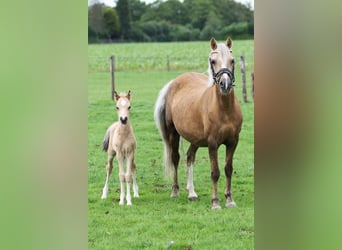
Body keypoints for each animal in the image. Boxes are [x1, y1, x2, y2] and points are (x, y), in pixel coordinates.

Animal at [154, 37, 242, 209]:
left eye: (232, 60)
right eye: (213, 61)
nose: (225, 84)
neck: (225, 110)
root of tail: (174, 82)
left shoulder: (233, 142)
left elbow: (228, 169)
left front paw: (229, 200)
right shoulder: (213, 143)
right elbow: (215, 172)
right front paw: (215, 202)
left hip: (195, 139)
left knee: (190, 157)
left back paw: (192, 193)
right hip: (173, 134)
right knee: (176, 158)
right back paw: (175, 191)